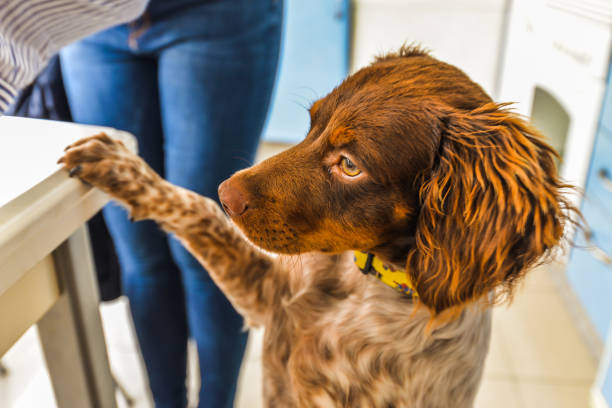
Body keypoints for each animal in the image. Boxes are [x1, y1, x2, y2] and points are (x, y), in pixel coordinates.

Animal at [58, 46, 572, 406]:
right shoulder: (267, 298)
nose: (227, 194)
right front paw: (123, 165)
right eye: (311, 124)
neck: (364, 288)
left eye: (349, 165)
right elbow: (193, 207)